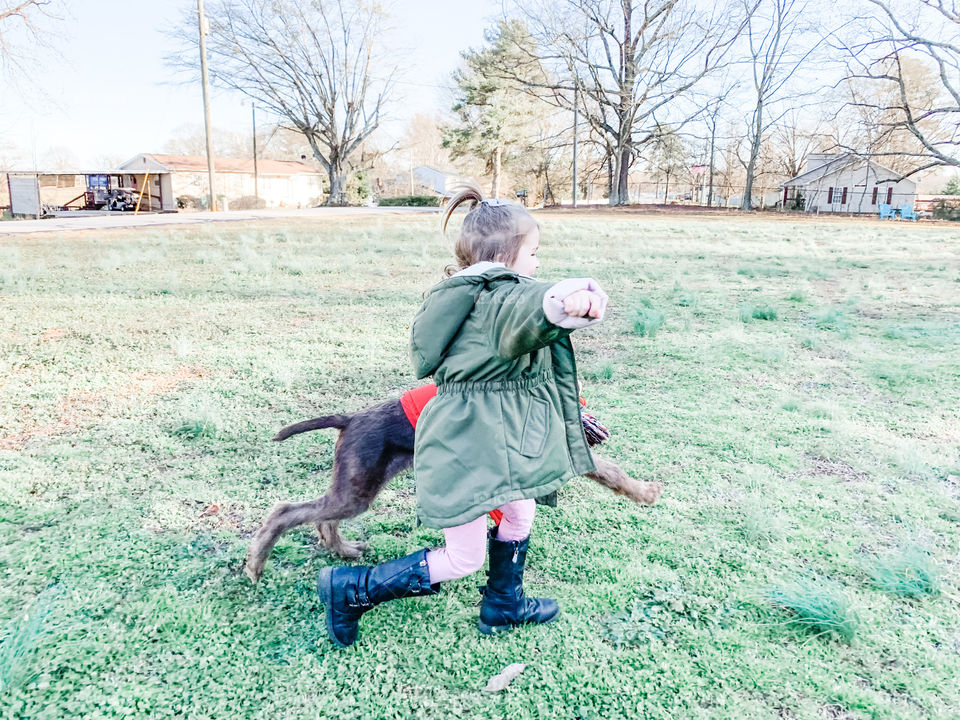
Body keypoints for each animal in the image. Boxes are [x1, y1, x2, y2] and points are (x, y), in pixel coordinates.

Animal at [244, 390, 660, 584]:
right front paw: (645, 492)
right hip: (356, 489)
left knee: (320, 518)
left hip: (354, 489)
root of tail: (350, 418)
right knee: (285, 513)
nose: (597, 429)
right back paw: (257, 564)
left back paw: (343, 551)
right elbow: (611, 471)